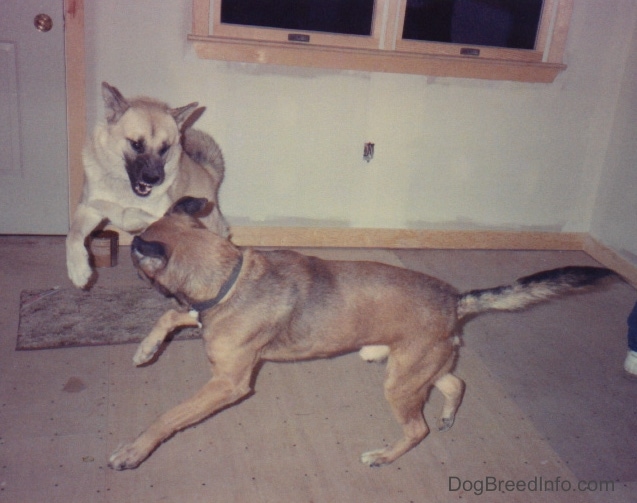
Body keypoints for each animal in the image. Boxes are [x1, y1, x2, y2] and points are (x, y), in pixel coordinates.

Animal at [109, 198, 616, 472]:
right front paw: (145, 350)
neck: (228, 275)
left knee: (416, 428)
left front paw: (133, 451)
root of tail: (455, 301)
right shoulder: (199, 320)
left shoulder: (227, 384)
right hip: (416, 369)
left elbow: (168, 417)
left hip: (401, 383)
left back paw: (385, 457)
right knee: (455, 383)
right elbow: (171, 317)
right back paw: (448, 416)